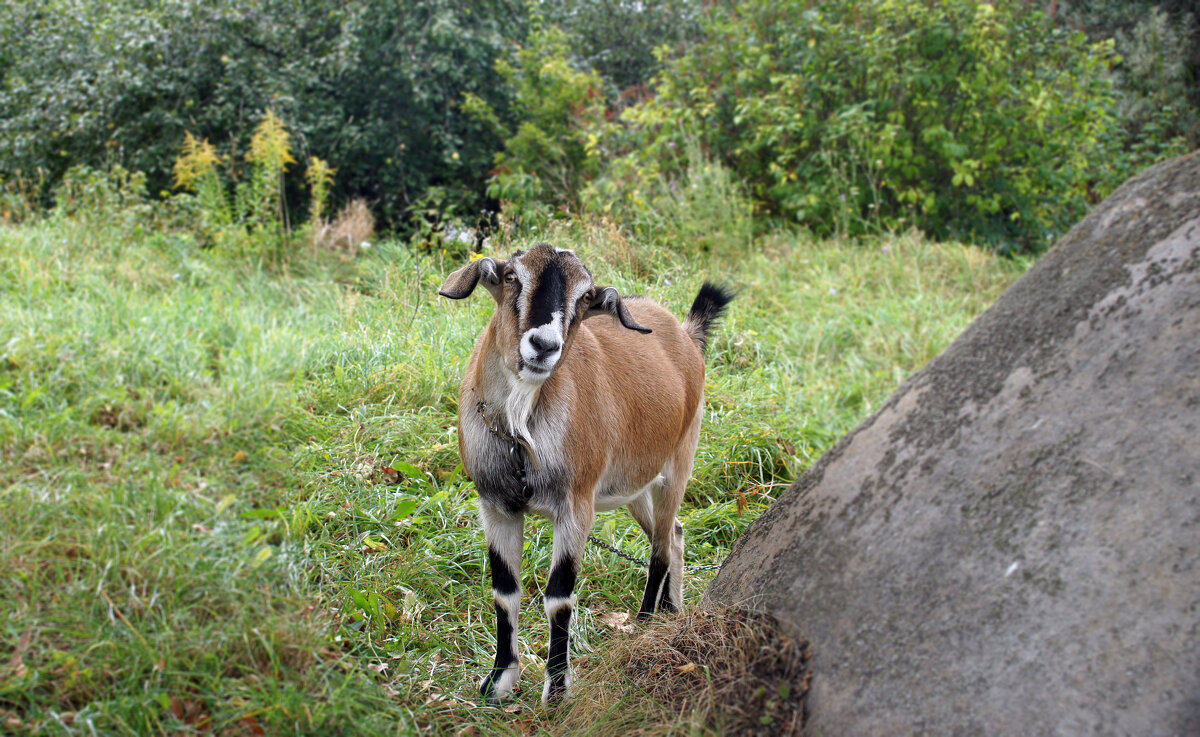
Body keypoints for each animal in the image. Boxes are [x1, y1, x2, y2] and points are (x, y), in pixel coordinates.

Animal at [436, 243, 724, 705]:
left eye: (585, 297)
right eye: (512, 276)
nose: (543, 345)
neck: (520, 431)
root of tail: (685, 333)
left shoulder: (576, 506)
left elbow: (559, 597)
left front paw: (556, 689)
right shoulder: (496, 506)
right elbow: (505, 591)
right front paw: (499, 681)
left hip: (679, 461)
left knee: (661, 546)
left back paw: (645, 621)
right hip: (634, 487)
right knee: (676, 533)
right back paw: (672, 610)